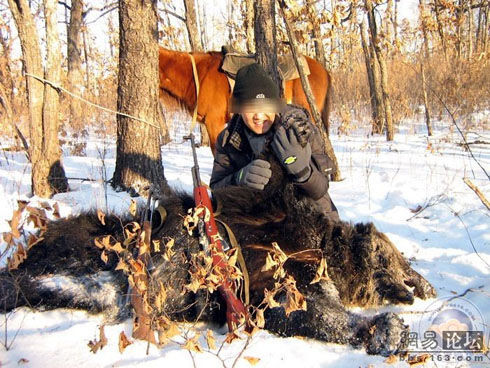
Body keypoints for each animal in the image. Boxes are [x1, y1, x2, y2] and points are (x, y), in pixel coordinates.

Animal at [0, 158, 436, 356]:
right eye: (395, 257)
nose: (424, 285)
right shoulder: (266, 286)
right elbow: (315, 315)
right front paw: (385, 330)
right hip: (88, 254)